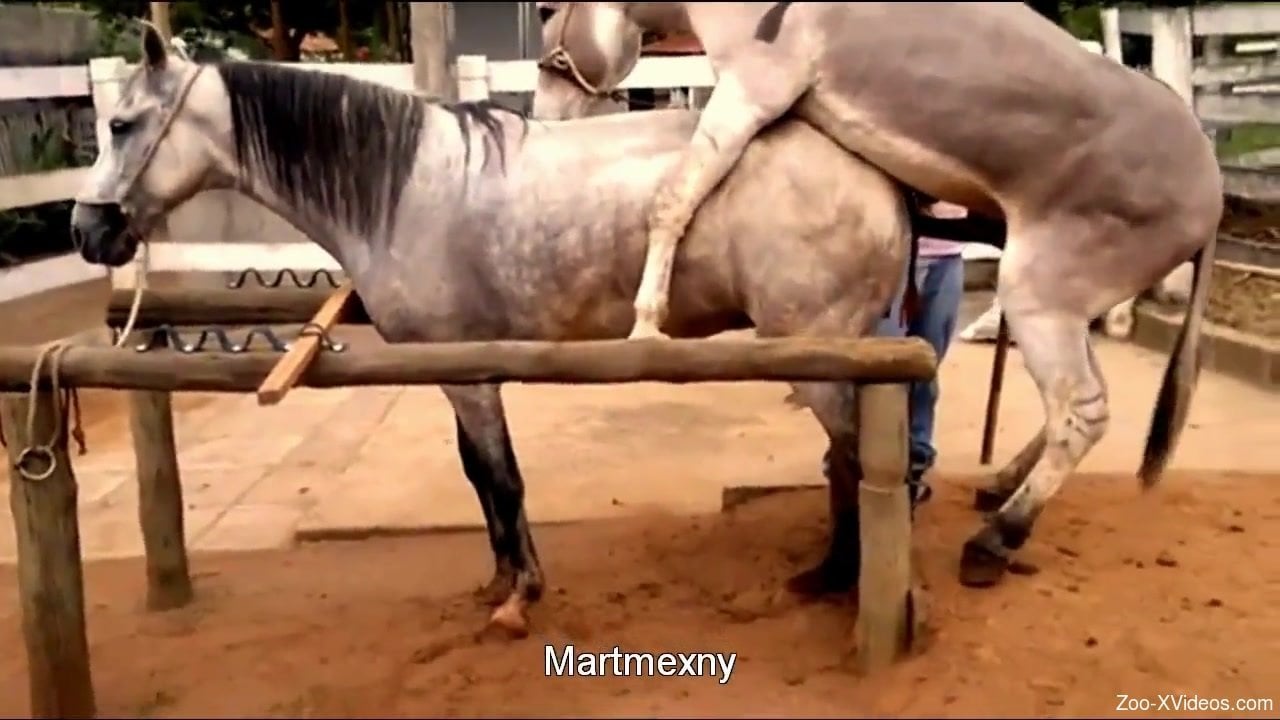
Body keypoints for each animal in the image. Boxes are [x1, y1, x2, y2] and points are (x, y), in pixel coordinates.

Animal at [71, 24, 916, 635]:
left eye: (122, 123)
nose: (85, 230)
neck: (402, 187)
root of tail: (875, 179)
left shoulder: (469, 375)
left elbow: (501, 477)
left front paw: (522, 596)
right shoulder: (455, 368)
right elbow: (481, 476)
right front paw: (503, 580)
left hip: (821, 359)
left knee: (854, 462)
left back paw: (845, 579)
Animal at [530, 1, 1224, 589]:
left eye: (543, 11)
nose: (540, 121)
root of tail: (1214, 190)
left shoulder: (754, 87)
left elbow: (674, 199)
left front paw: (647, 321)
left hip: (1036, 292)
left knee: (1082, 411)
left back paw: (997, 540)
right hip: (1067, 300)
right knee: (1077, 403)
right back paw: (1001, 485)